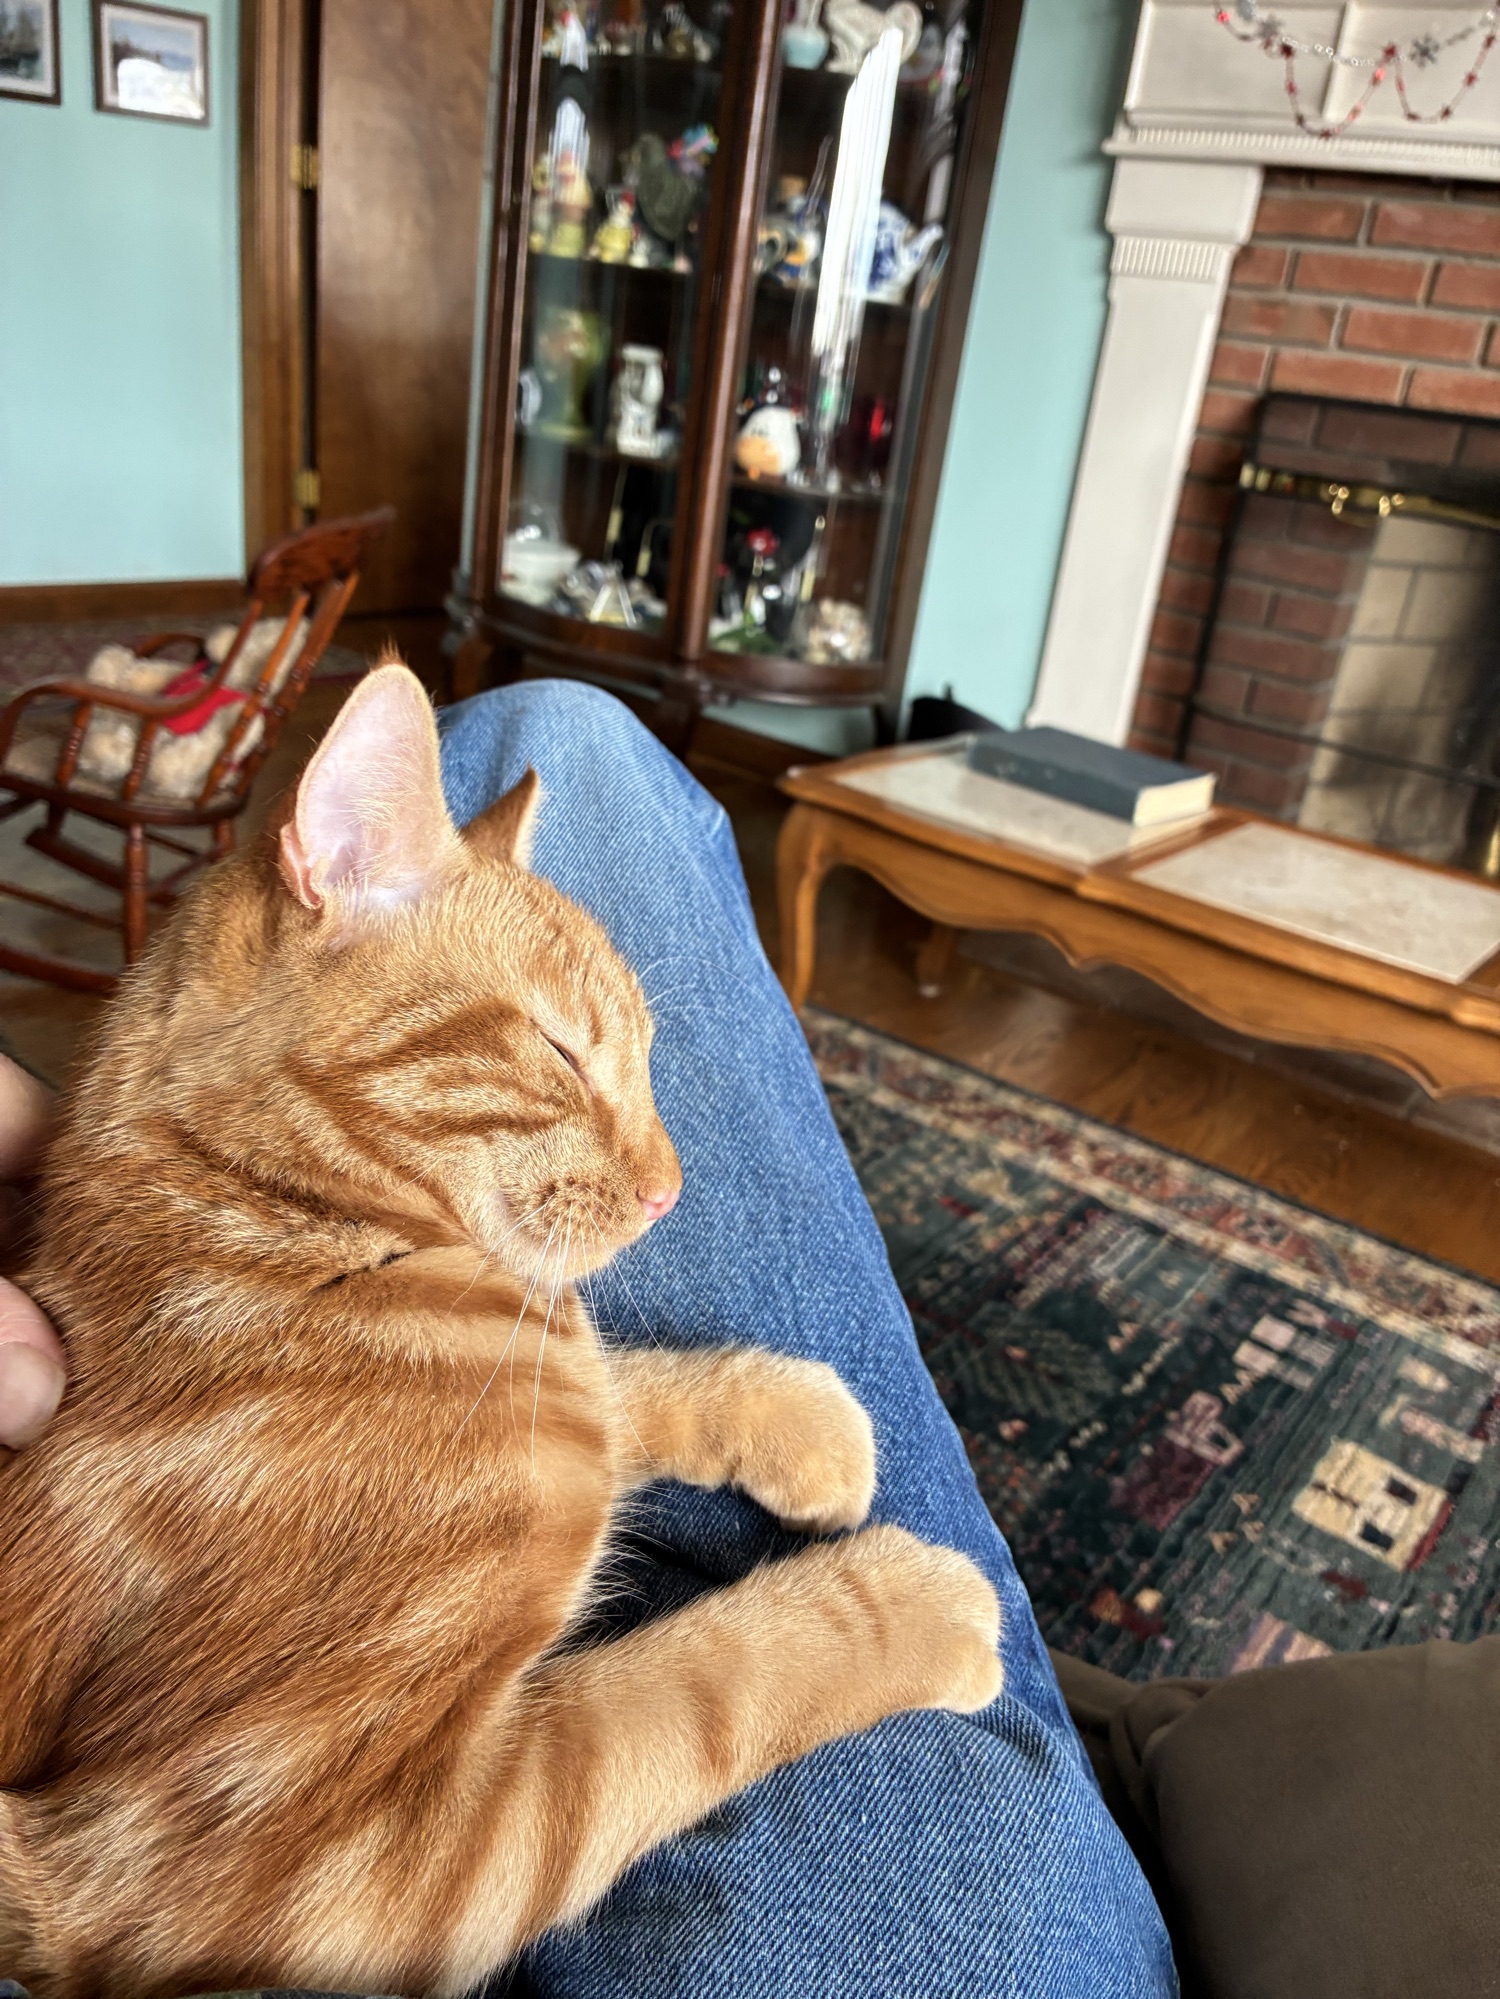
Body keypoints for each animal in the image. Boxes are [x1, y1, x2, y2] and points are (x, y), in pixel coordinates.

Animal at [0, 662, 1002, 1999]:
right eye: (565, 1052)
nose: (671, 1188)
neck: (310, 1244)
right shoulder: (304, 1862)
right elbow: (701, 1686)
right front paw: (912, 1602)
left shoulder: (558, 1382)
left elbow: (621, 1393)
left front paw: (800, 1419)